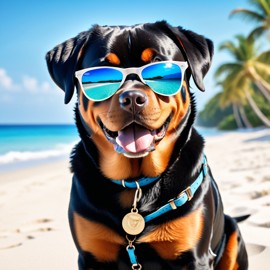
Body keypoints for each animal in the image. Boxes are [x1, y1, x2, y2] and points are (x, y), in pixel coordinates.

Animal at [45, 21, 248, 270]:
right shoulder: (90, 255)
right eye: (102, 75)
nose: (132, 98)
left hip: (232, 231)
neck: (136, 184)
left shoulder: (196, 257)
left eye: (159, 69)